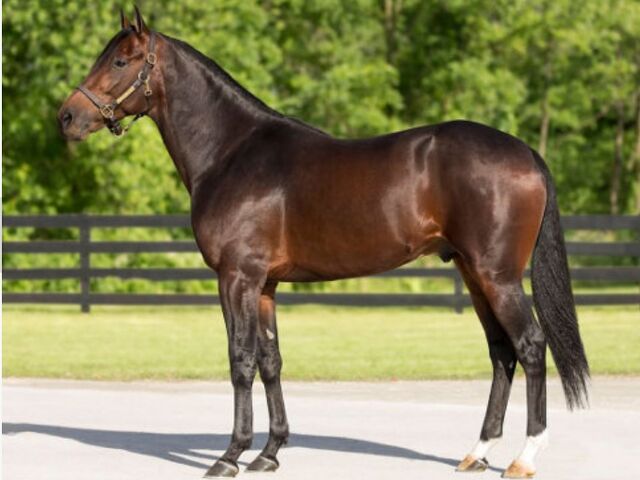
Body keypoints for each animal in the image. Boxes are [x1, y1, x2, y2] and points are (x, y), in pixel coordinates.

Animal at [58, 8, 589, 479]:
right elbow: (271, 361)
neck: (231, 152)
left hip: (498, 276)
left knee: (530, 345)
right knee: (501, 352)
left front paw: (230, 456)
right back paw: (476, 453)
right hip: (473, 274)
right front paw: (269, 453)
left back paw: (523, 458)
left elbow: (240, 361)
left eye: (120, 61)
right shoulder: (265, 286)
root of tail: (526, 152)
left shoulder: (237, 277)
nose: (67, 116)